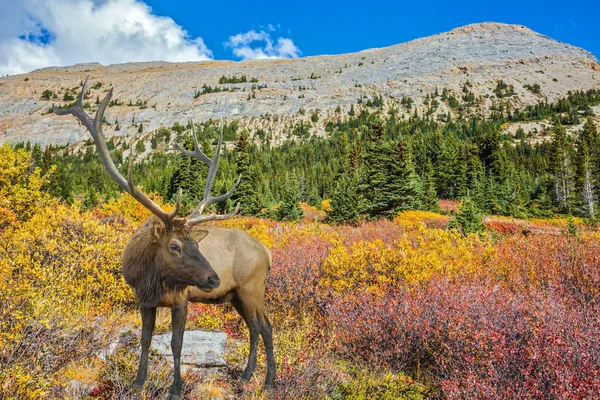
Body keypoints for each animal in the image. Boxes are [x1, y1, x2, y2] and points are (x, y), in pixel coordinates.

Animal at [54, 79, 274, 398]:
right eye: (175, 245)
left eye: (196, 243)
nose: (213, 278)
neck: (150, 275)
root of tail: (268, 252)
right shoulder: (144, 300)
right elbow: (145, 339)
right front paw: (138, 381)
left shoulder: (182, 298)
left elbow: (176, 343)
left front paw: (176, 388)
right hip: (236, 295)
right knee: (258, 326)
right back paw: (252, 378)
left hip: (252, 288)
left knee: (264, 326)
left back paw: (263, 380)